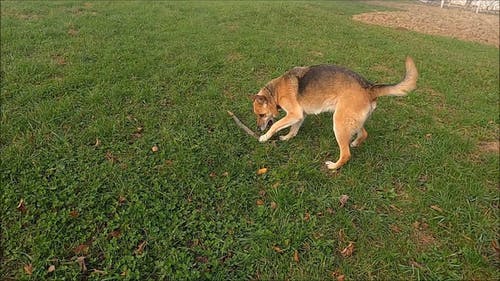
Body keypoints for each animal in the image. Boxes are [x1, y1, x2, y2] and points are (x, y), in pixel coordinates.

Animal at [250, 55, 418, 168]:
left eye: (261, 115)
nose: (258, 128)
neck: (276, 92)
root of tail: (369, 88)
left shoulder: (294, 114)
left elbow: (275, 125)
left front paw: (264, 137)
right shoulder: (300, 116)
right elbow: (293, 129)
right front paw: (287, 137)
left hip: (339, 123)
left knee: (346, 154)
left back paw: (333, 166)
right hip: (350, 121)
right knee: (363, 133)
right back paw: (355, 142)